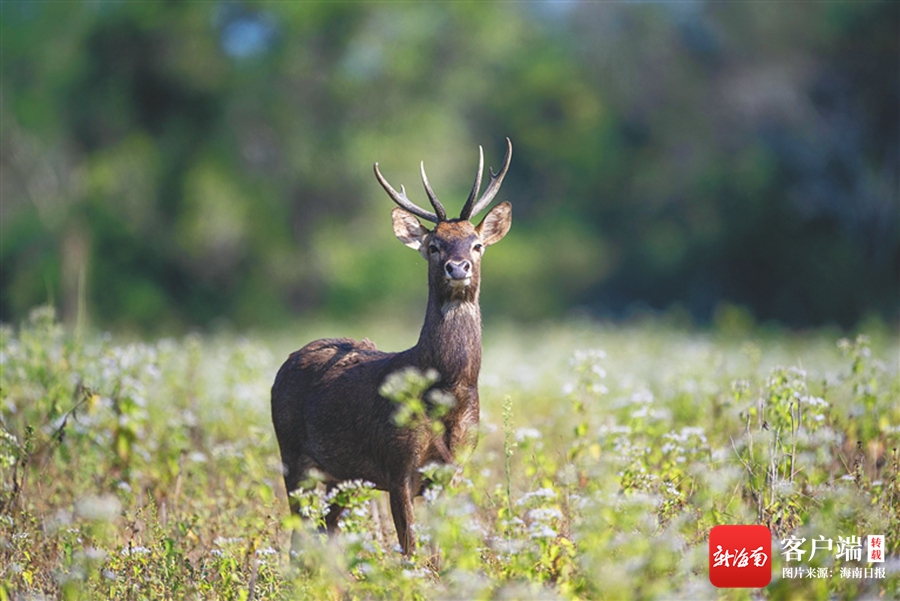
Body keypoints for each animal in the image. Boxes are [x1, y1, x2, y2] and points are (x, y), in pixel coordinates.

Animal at [268, 138, 512, 552]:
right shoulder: (397, 463)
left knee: (326, 531)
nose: (458, 267)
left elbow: (439, 551)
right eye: (434, 245)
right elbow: (411, 549)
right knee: (298, 537)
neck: (448, 389)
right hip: (292, 455)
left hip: (342, 478)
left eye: (477, 244)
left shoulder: (453, 467)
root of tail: (285, 364)